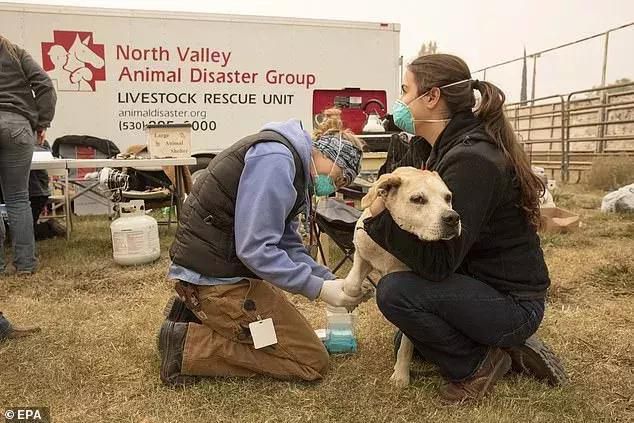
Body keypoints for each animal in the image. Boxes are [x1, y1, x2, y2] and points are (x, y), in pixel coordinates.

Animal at [340, 167, 460, 390]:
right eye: (418, 199)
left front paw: (401, 374)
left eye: (448, 198)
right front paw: (353, 298)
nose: (453, 218)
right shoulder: (361, 253)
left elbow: (406, 343)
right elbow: (351, 284)